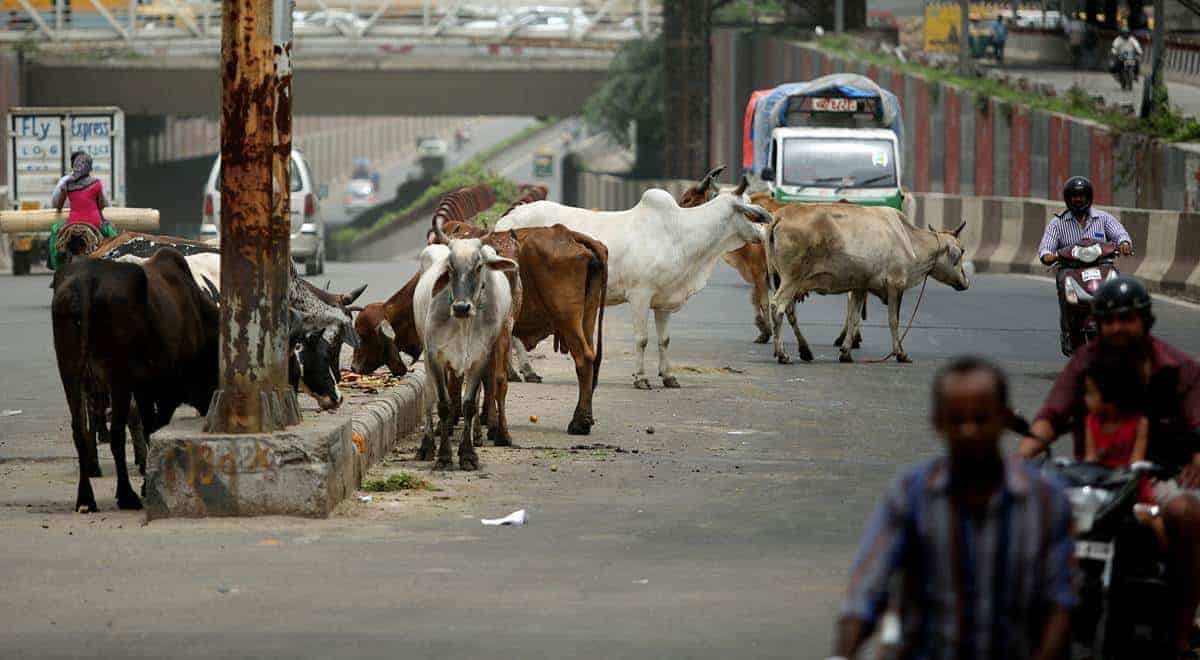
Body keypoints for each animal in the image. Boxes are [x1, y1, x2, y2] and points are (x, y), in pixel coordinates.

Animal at [51, 250, 219, 516]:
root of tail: (85, 283)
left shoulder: (144, 388)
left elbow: (148, 427)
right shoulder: (163, 389)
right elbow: (153, 428)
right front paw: (145, 485)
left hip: (70, 372)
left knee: (80, 431)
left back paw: (86, 498)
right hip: (118, 377)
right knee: (117, 433)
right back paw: (126, 495)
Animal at [412, 222, 516, 470]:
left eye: (478, 266)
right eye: (450, 267)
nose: (461, 307)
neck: (464, 324)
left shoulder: (480, 358)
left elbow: (469, 403)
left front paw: (468, 454)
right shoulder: (435, 355)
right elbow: (443, 403)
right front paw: (443, 456)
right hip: (427, 356)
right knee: (429, 396)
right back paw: (426, 446)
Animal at [439, 222, 609, 436]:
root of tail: (568, 234)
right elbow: (488, 375)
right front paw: (486, 418)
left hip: (567, 317)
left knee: (584, 359)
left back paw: (579, 422)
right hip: (587, 316)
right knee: (592, 358)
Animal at [494, 188, 768, 391]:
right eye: (749, 213)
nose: (765, 232)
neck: (678, 233)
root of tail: (506, 220)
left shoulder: (663, 301)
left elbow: (665, 340)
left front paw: (668, 376)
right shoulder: (640, 296)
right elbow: (642, 339)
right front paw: (641, 378)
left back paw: (515, 372)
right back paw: (525, 371)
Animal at [768, 204, 964, 364]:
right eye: (962, 251)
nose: (966, 282)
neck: (909, 239)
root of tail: (780, 215)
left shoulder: (860, 286)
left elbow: (853, 318)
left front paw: (846, 352)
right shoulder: (895, 284)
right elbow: (894, 320)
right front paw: (900, 353)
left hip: (782, 280)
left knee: (788, 311)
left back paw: (800, 351)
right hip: (791, 279)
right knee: (777, 306)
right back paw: (783, 355)